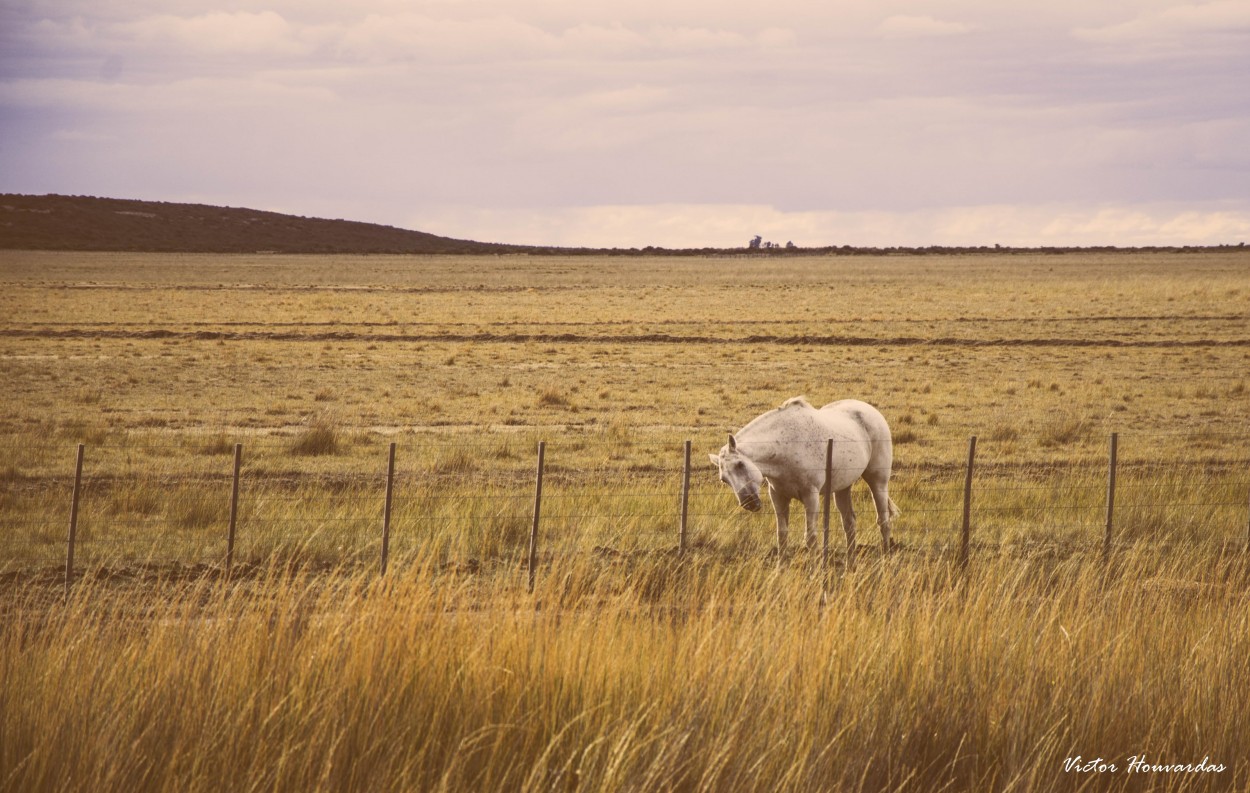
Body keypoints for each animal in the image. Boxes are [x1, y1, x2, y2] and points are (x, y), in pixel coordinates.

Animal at [715, 395, 900, 562]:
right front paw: (780, 568)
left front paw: (813, 570)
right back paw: (850, 562)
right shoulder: (778, 496)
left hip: (878, 482)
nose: (749, 503)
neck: (786, 446)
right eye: (724, 479)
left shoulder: (811, 496)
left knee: (884, 521)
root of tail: (871, 411)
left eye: (740, 464)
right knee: (849, 523)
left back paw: (885, 559)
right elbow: (782, 534)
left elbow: (810, 537)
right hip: (842, 489)